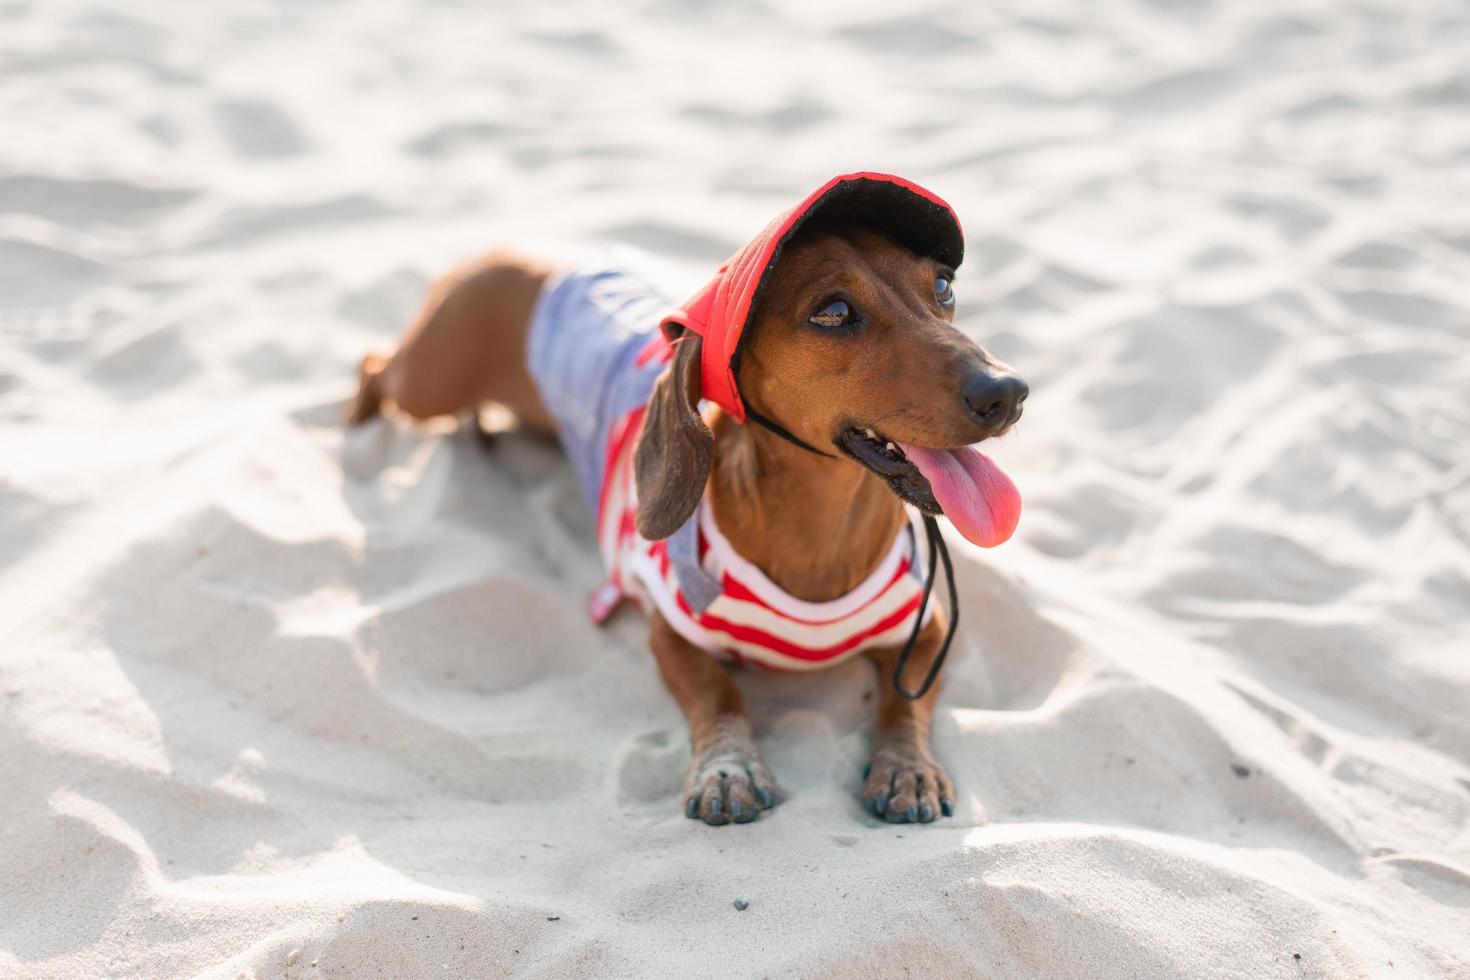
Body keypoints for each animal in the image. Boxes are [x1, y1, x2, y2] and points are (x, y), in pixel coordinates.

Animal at [349, 174, 1029, 822]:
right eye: (834, 312)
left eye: (942, 286)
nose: (1008, 392)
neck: (819, 535)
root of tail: (520, 248)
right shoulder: (670, 632)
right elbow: (719, 696)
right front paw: (728, 770)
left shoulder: (926, 627)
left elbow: (903, 706)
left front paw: (907, 769)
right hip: (427, 383)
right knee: (373, 364)